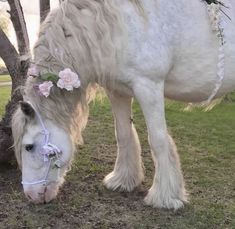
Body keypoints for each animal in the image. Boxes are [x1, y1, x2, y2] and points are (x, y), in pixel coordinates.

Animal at [11, 0, 235, 209]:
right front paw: (123, 180)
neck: (116, 26)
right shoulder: (118, 92)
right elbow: (124, 135)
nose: (31, 195)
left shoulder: (149, 86)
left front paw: (164, 196)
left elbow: (158, 141)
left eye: (29, 147)